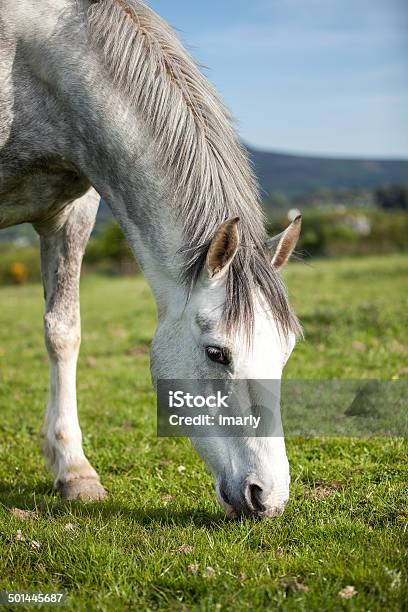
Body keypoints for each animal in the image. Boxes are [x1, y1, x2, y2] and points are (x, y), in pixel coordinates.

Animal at [0, 0, 302, 520]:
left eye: (285, 351)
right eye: (216, 353)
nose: (269, 497)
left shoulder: (72, 213)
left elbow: (63, 332)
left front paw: (75, 472)